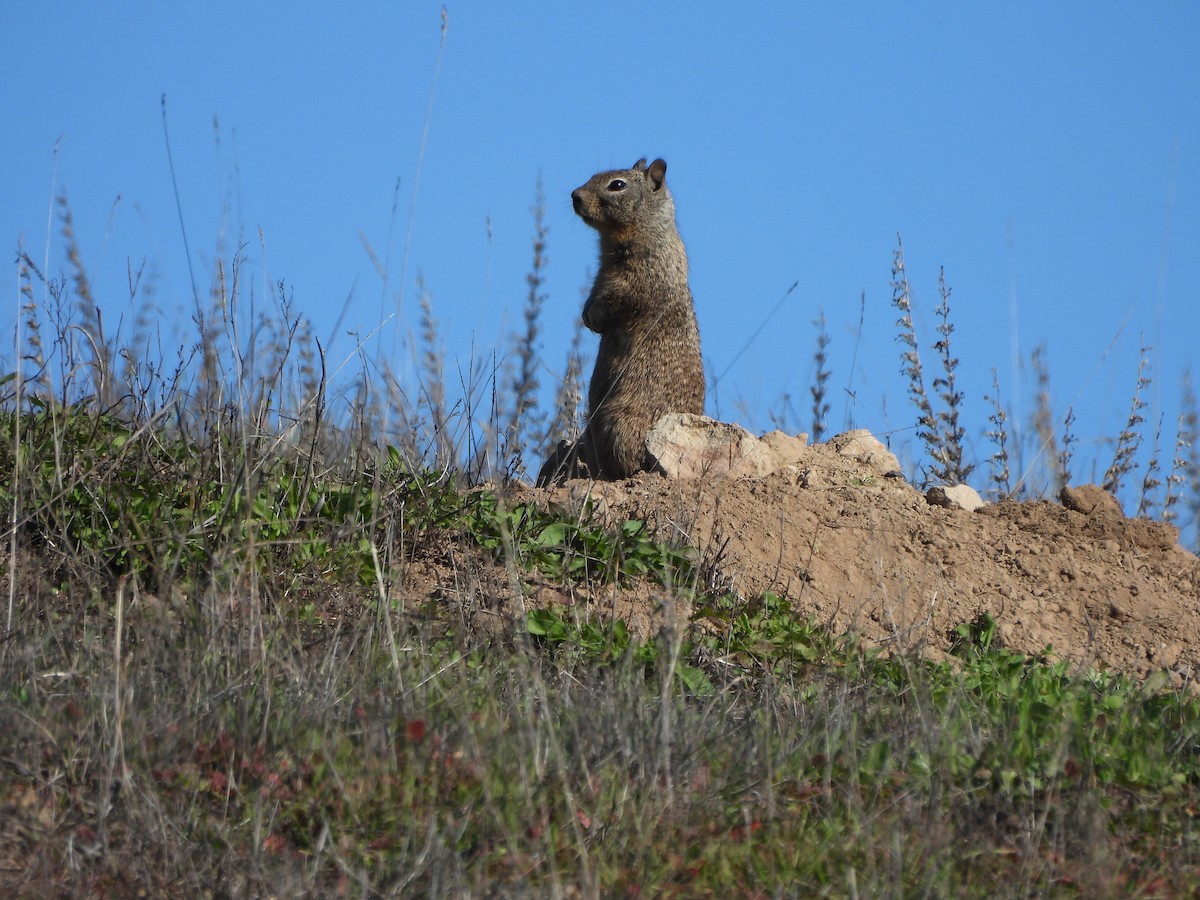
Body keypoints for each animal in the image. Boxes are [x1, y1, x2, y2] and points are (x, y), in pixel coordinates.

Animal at [538, 157, 705, 485]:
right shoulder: (601, 274)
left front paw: (595, 316)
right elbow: (594, 293)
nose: (575, 195)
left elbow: (619, 298)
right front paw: (587, 315)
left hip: (619, 422)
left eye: (617, 185)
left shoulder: (640, 275)